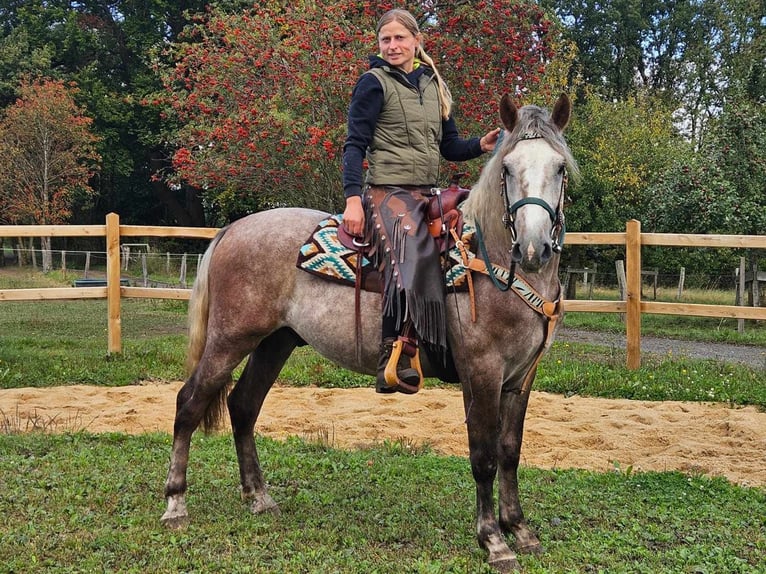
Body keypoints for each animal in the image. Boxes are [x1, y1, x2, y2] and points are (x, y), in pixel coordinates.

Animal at [164, 92, 584, 572]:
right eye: (508, 169)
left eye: (560, 168)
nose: (534, 249)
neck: (488, 261)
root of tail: (233, 228)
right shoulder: (482, 372)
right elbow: (484, 456)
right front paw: (494, 541)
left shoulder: (520, 378)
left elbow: (511, 452)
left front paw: (520, 529)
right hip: (229, 340)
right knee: (189, 403)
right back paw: (175, 504)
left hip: (275, 342)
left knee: (243, 406)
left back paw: (259, 497)